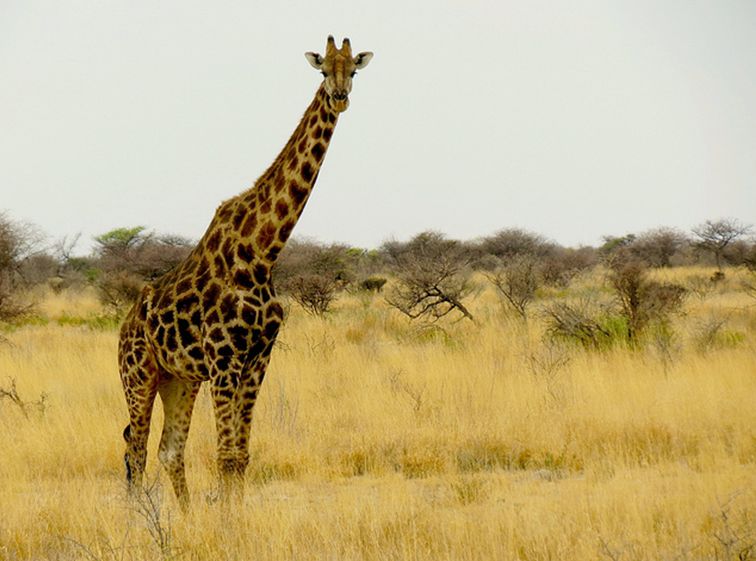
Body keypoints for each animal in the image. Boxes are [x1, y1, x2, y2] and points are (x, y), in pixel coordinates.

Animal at [117, 36, 372, 508]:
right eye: (323, 69)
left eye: (353, 70)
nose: (340, 96)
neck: (262, 253)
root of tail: (123, 327)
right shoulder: (224, 360)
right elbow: (225, 457)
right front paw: (228, 523)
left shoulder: (257, 358)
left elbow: (241, 456)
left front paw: (231, 520)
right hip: (138, 374)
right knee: (135, 448)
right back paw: (136, 522)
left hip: (178, 379)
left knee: (168, 450)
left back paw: (186, 518)